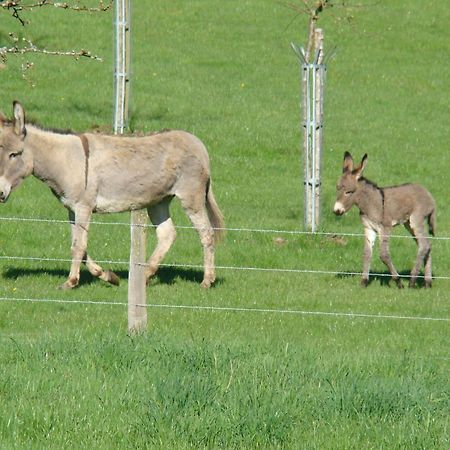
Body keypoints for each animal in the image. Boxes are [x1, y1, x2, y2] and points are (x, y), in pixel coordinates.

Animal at [334, 152, 436, 288]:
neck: (370, 203)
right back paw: (427, 282)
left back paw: (412, 280)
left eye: (349, 192)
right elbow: (366, 253)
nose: (336, 211)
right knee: (427, 244)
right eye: (337, 188)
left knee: (424, 245)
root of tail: (428, 194)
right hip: (408, 224)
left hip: (416, 220)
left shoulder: (385, 228)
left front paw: (398, 281)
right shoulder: (369, 228)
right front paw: (364, 281)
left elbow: (384, 255)